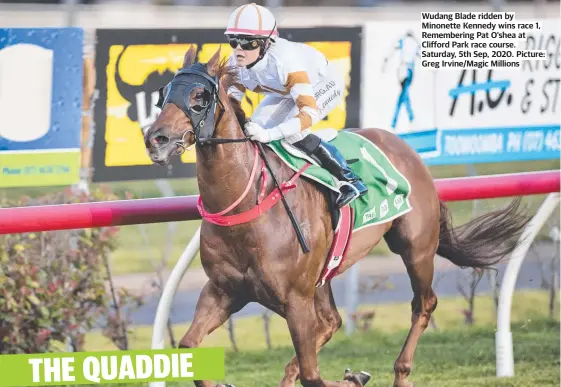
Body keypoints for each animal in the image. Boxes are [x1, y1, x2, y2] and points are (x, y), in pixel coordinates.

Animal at [144, 46, 528, 387]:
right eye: (163, 94)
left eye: (200, 96)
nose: (155, 139)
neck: (247, 202)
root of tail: (406, 148)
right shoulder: (225, 290)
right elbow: (188, 345)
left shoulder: (295, 299)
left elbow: (313, 376)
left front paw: (352, 378)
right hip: (324, 273)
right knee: (331, 322)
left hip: (415, 246)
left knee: (423, 303)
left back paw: (401, 371)